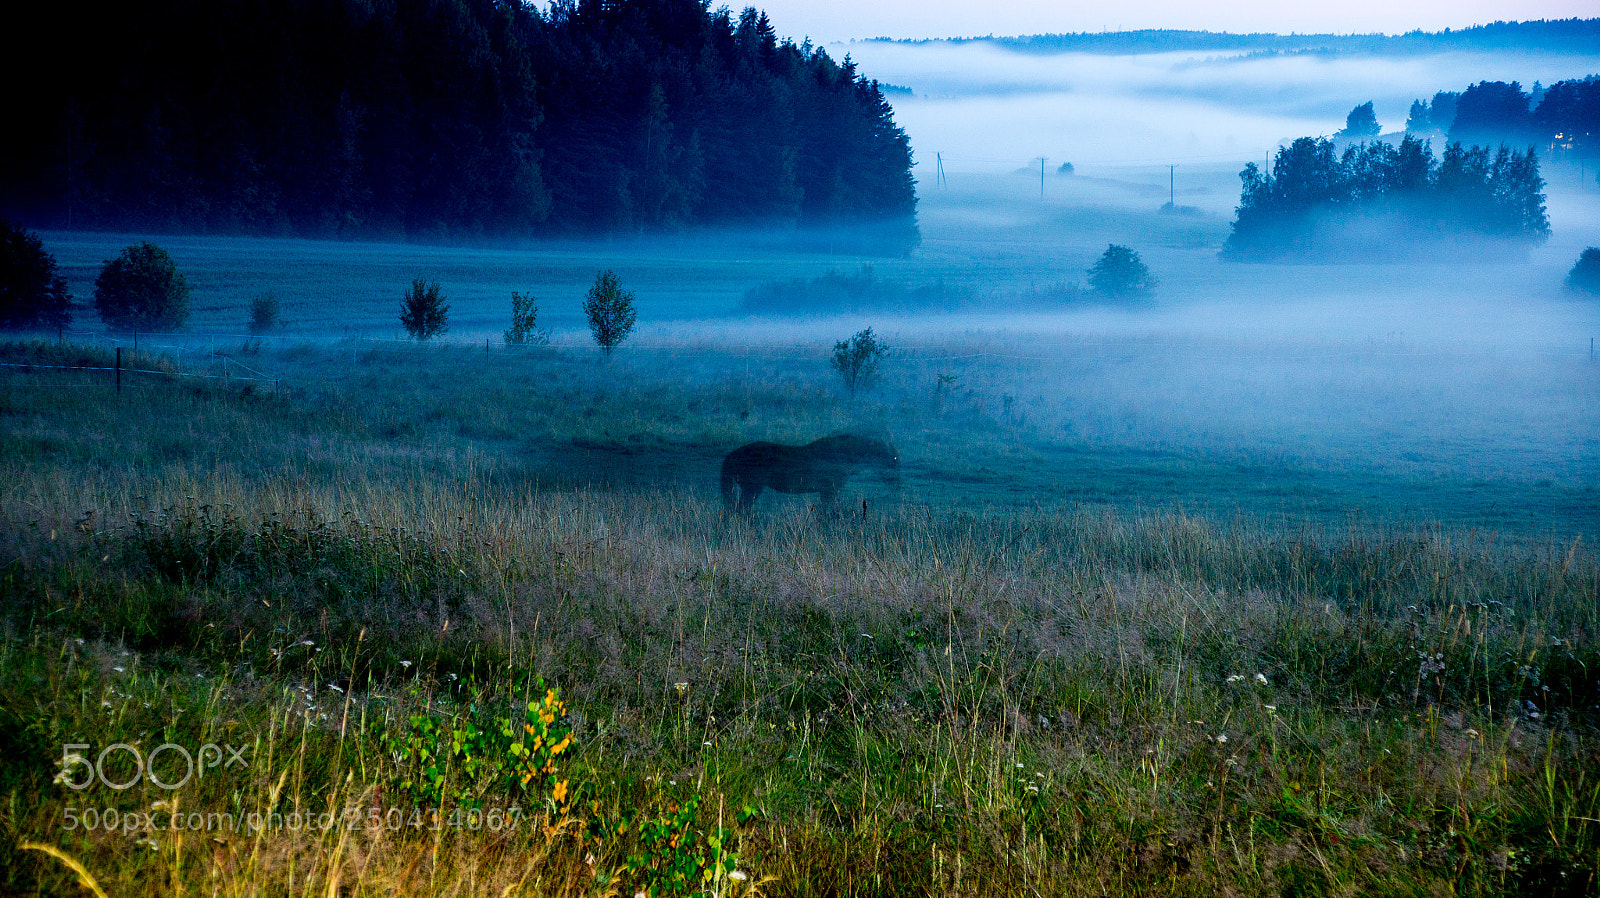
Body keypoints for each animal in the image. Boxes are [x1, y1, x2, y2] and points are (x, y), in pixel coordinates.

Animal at [723, 432, 902, 512]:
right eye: (892, 456)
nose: (896, 477)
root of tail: (733, 453)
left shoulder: (827, 490)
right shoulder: (831, 489)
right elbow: (829, 510)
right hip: (752, 487)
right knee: (741, 508)